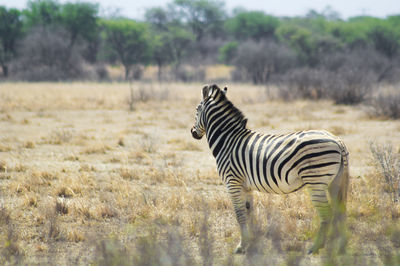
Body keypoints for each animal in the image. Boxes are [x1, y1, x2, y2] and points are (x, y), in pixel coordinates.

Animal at [191, 84, 350, 255]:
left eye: (196, 109)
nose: (193, 132)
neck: (228, 141)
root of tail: (337, 140)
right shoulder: (246, 187)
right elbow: (249, 213)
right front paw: (252, 243)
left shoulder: (232, 182)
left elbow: (239, 214)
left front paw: (241, 246)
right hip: (335, 182)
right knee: (340, 211)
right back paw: (341, 247)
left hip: (316, 182)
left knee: (327, 213)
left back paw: (316, 247)